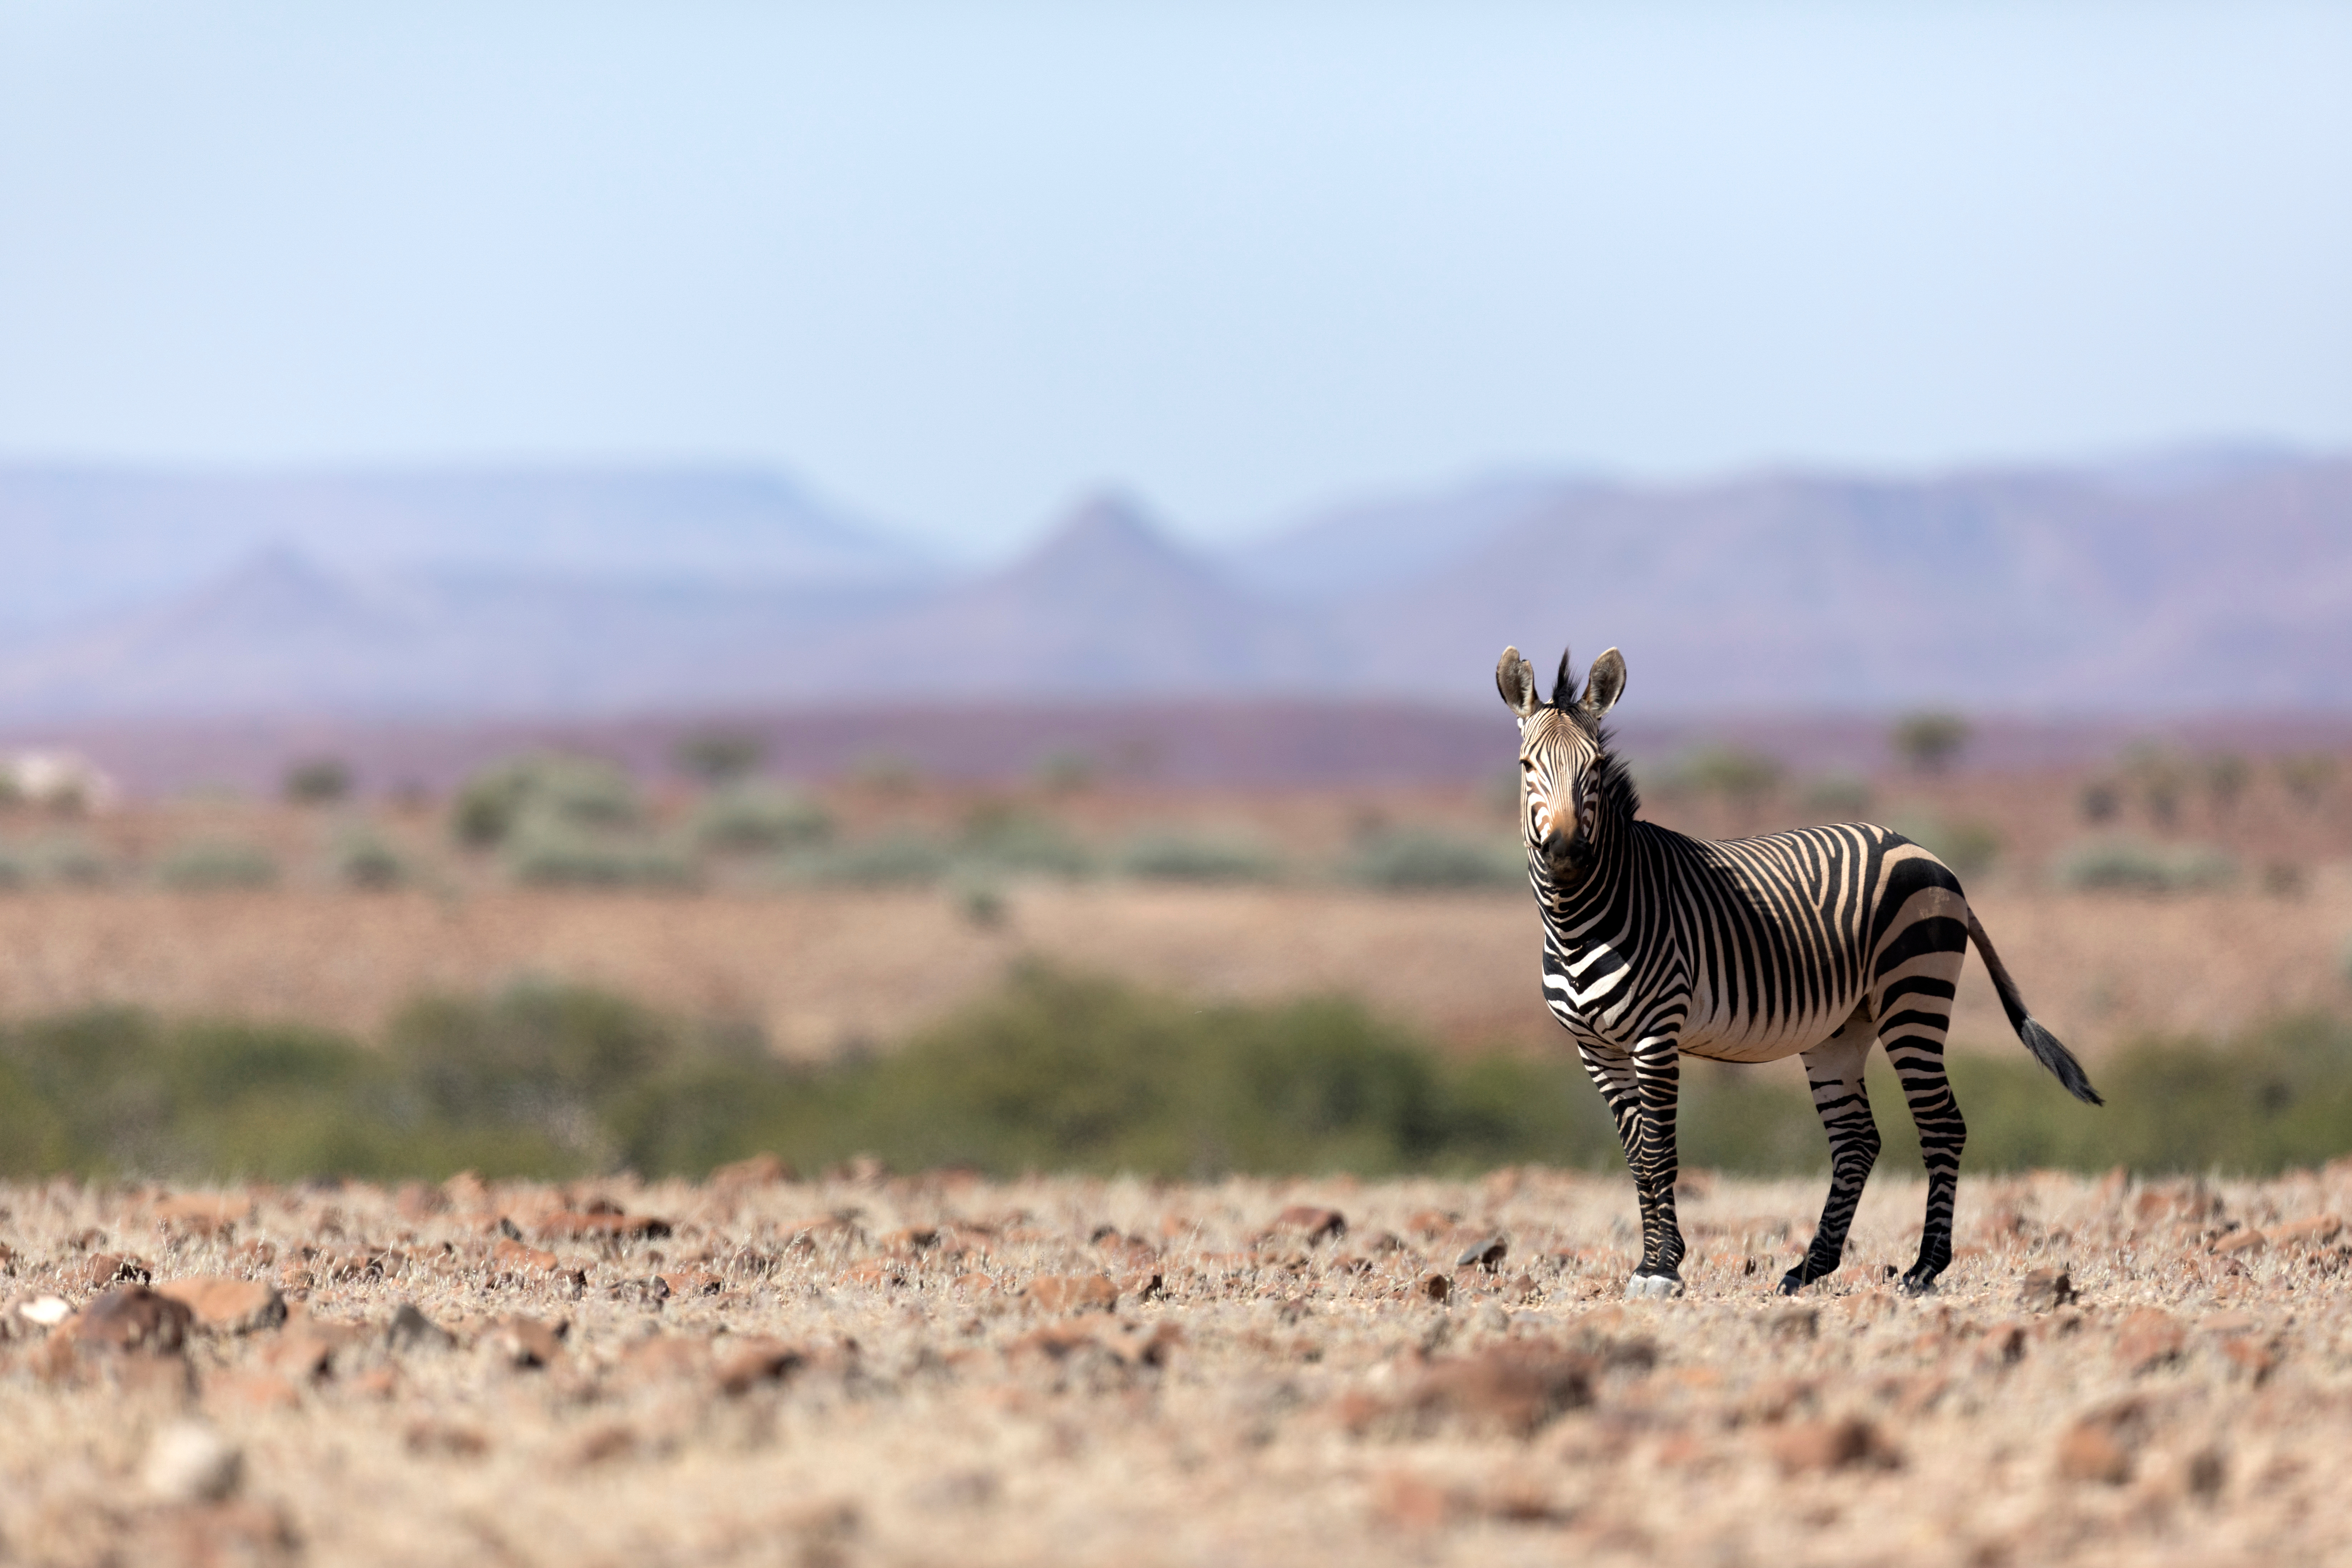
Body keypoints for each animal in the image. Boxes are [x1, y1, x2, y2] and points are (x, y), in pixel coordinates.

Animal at [1498, 642, 2101, 1299]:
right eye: (1527, 765)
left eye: (1596, 766)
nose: (1566, 852)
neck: (1581, 918)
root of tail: (1925, 851)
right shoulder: (1595, 1046)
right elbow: (1635, 1154)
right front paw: (1652, 1260)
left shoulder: (1657, 1033)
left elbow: (1658, 1152)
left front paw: (1661, 1268)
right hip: (1841, 1028)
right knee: (1858, 1139)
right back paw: (1810, 1266)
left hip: (1913, 995)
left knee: (1942, 1124)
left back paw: (1923, 1268)